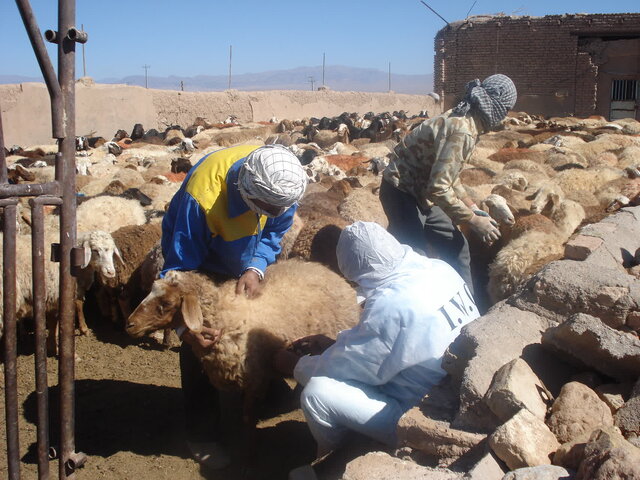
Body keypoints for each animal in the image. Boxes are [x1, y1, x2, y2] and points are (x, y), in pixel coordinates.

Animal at [122, 260, 358, 430]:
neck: (225, 316)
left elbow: (247, 416)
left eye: (167, 303)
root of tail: (332, 274)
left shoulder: (255, 378)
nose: (129, 325)